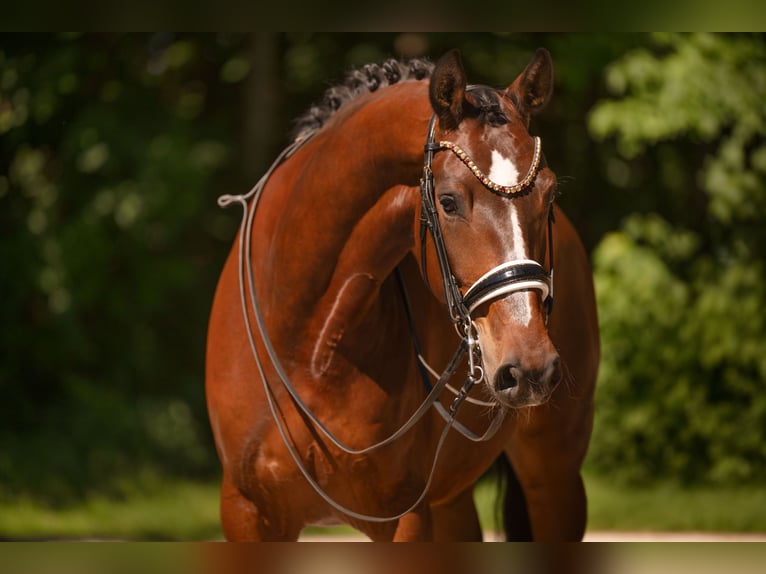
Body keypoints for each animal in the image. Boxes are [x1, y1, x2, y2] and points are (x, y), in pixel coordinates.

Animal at [205, 48, 599, 541]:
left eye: (548, 197)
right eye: (448, 202)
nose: (530, 367)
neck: (309, 343)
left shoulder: (404, 516)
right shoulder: (246, 512)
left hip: (554, 477)